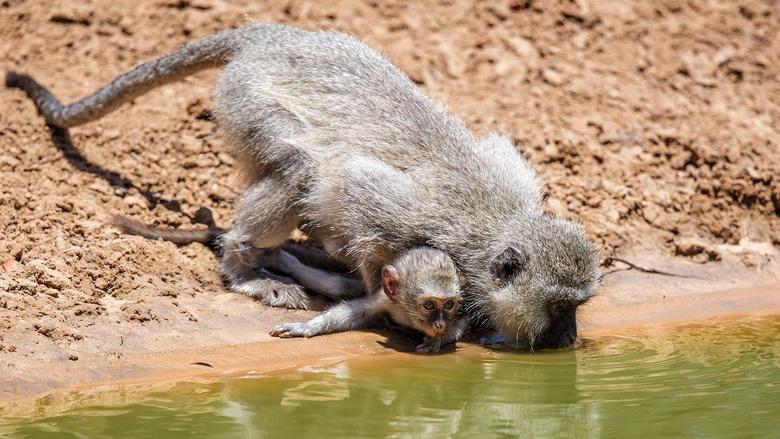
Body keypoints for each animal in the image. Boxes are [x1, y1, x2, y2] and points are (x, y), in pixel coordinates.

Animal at [272, 248, 466, 354]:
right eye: (429, 305)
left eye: (449, 304)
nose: (440, 324)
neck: (407, 313)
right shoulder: (385, 299)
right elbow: (355, 312)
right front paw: (306, 327)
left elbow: (464, 321)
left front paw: (437, 340)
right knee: (339, 286)